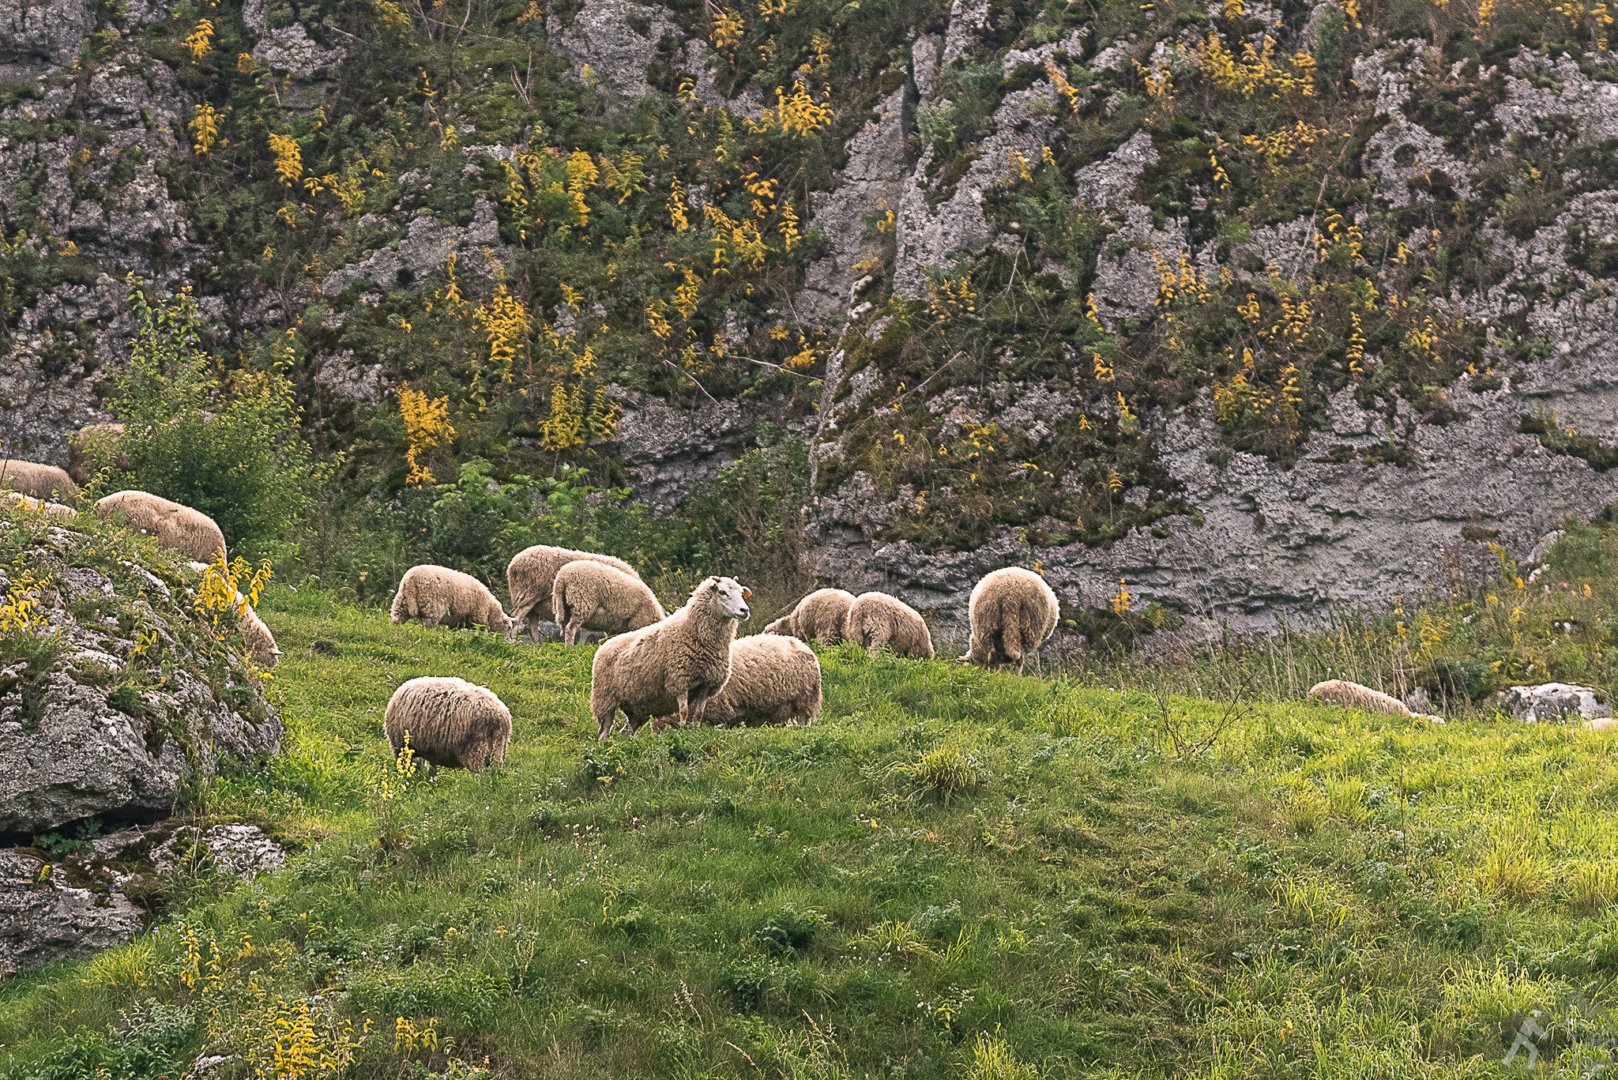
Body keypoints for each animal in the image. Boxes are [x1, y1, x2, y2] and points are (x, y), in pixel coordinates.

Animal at [504, 540, 637, 641]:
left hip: (534, 605)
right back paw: (512, 643)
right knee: (516, 619)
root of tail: (513, 566)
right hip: (529, 594)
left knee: (531, 627)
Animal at [588, 573, 750, 744]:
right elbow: (684, 711)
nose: (744, 610)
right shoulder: (680, 680)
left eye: (741, 593)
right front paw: (683, 732)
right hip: (605, 699)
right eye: (722, 592)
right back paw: (603, 745)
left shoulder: (706, 685)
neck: (693, 630)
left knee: (626, 731)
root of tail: (603, 647)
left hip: (637, 709)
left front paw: (695, 732)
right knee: (604, 730)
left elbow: (699, 714)